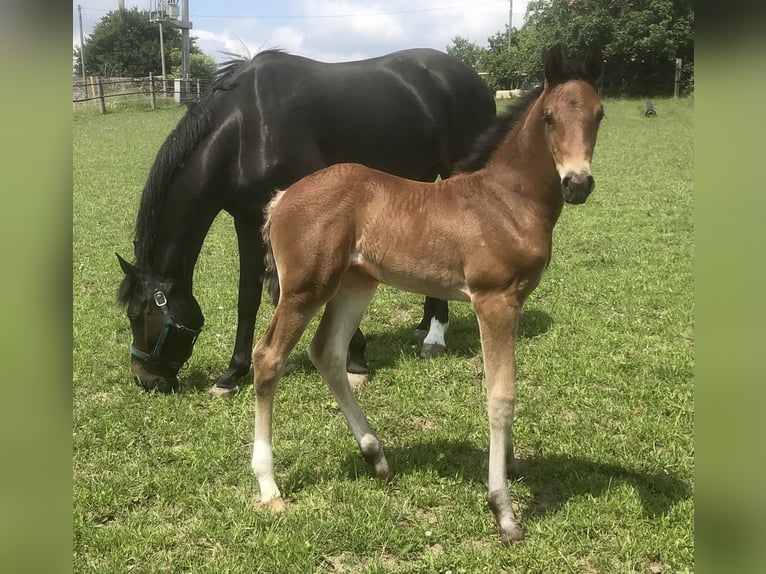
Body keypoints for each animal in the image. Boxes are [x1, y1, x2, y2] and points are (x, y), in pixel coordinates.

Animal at [117, 48, 496, 396]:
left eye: (137, 314)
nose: (143, 378)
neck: (247, 130)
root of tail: (473, 78)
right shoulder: (248, 220)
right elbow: (248, 298)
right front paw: (232, 374)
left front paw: (356, 360)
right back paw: (426, 324)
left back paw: (436, 335)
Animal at [252, 45, 608, 544]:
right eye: (550, 118)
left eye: (599, 114)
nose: (577, 183)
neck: (506, 200)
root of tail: (282, 197)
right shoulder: (493, 300)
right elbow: (500, 395)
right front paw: (504, 511)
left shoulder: (513, 303)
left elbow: (506, 387)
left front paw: (512, 464)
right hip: (306, 288)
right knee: (268, 358)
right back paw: (269, 486)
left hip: (356, 283)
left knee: (328, 353)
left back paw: (376, 455)